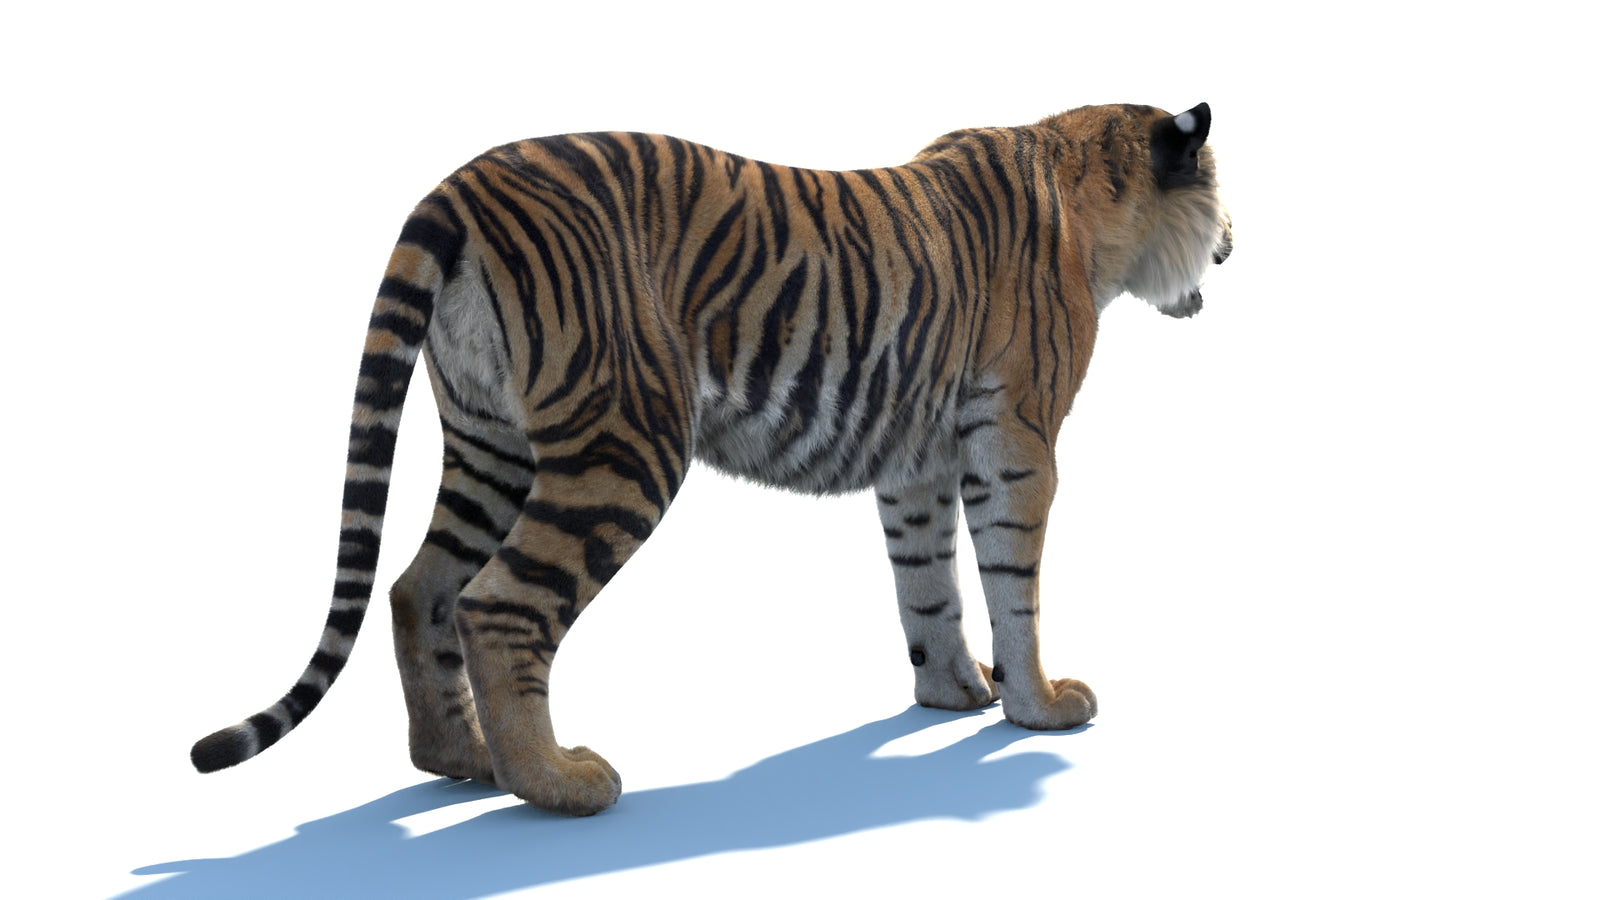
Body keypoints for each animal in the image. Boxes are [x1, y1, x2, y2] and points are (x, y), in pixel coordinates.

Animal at [192, 102, 1232, 816]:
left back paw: (461, 760)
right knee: (497, 604)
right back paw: (556, 785)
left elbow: (926, 584)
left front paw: (951, 694)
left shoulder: (918, 459)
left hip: (493, 446)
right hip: (624, 440)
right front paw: (1040, 705)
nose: (1230, 246)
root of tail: (459, 187)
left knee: (419, 590)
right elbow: (1015, 582)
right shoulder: (1016, 437)